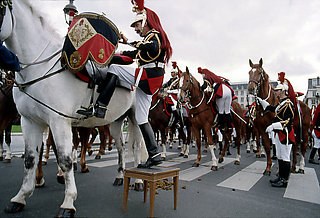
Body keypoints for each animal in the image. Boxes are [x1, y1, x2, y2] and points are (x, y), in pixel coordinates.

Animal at [0, 0, 146, 215]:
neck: (38, 68)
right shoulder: (30, 122)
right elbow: (30, 159)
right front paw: (20, 197)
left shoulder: (58, 121)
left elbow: (66, 160)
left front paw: (68, 202)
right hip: (115, 121)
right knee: (120, 147)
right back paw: (120, 176)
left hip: (135, 117)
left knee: (136, 146)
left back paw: (137, 180)